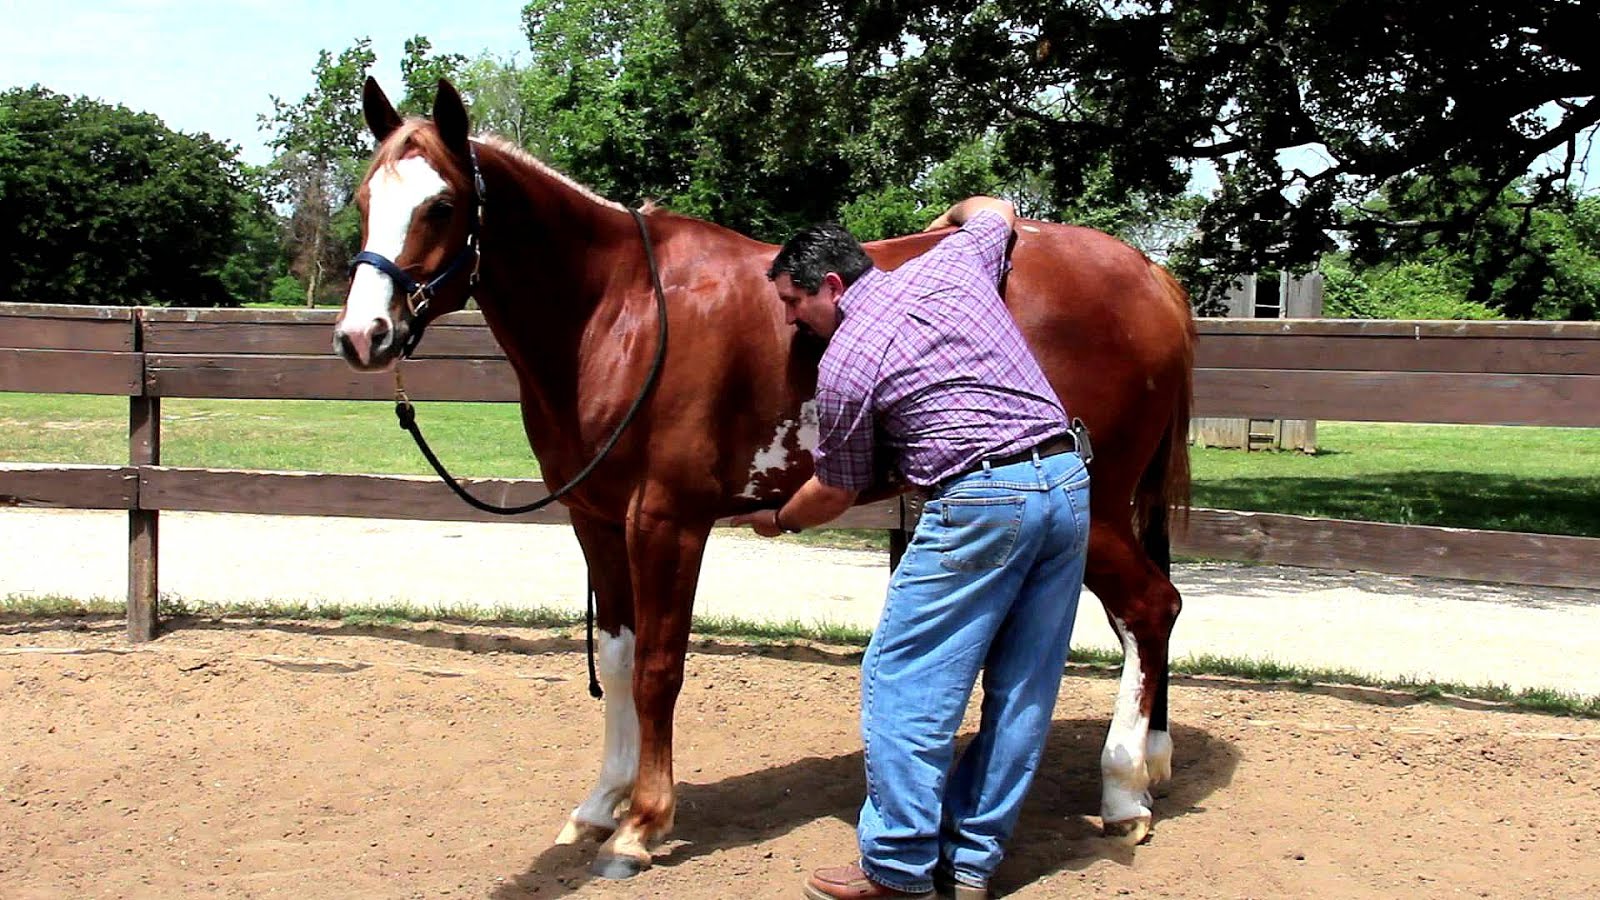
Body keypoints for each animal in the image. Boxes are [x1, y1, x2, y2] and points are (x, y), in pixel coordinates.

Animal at [336, 78, 1194, 878]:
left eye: (442, 205)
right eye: (363, 199)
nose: (361, 336)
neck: (620, 312)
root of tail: (1149, 274)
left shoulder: (667, 523)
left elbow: (657, 667)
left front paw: (642, 824)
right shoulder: (596, 519)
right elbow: (616, 661)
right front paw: (600, 803)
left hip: (1095, 503)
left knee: (1151, 608)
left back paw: (1124, 791)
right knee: (1130, 623)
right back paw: (1144, 767)